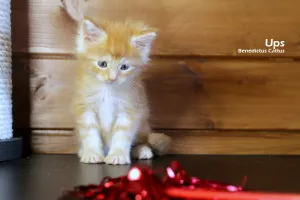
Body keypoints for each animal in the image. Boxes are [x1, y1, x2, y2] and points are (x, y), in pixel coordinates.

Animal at [72, 17, 171, 165]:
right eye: (102, 64)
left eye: (124, 67)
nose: (112, 78)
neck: (107, 90)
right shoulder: (85, 107)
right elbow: (90, 133)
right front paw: (92, 153)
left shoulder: (130, 108)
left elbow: (122, 135)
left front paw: (117, 155)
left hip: (143, 125)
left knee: (143, 141)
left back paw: (142, 150)